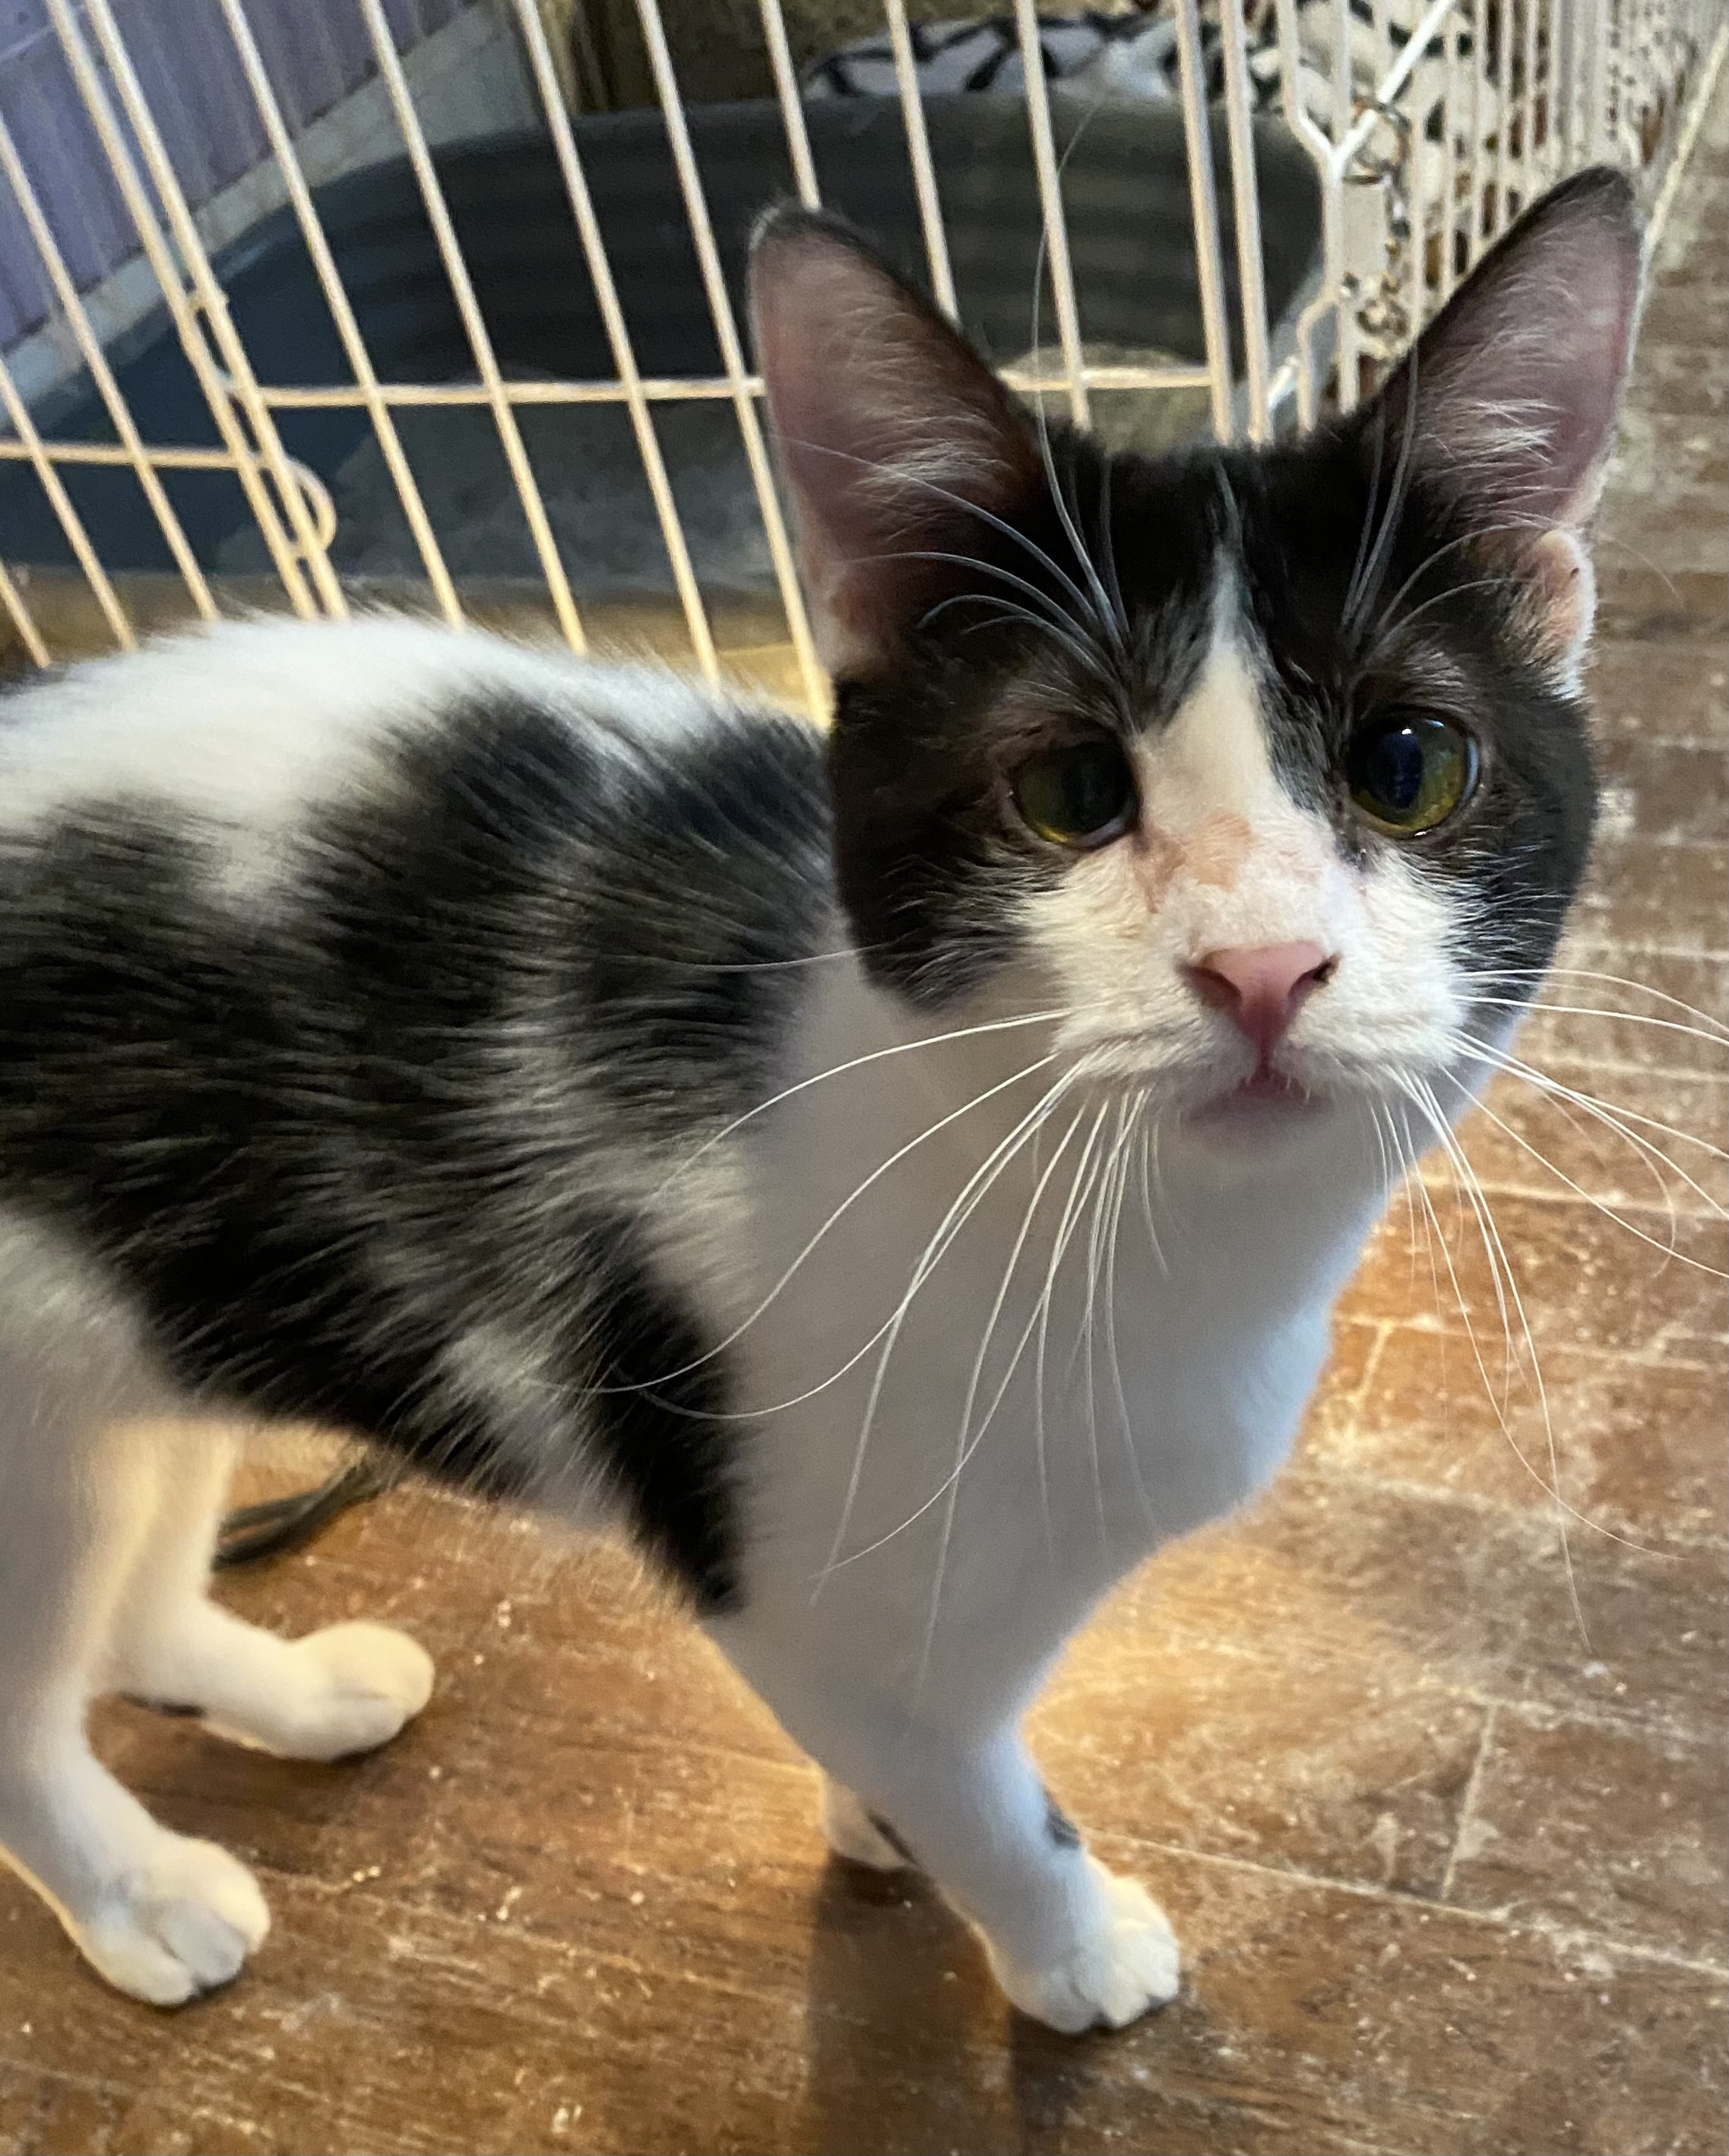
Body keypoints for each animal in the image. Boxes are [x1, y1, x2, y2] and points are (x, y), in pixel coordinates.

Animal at [0, 176, 1638, 2026]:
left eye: (1409, 763)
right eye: (1069, 788)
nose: (1266, 964)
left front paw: (882, 1830)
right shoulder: (780, 1568)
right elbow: (977, 1782)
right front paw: (1064, 1942)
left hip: (158, 1317)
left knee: (130, 1587)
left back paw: (287, 1692)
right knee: (20, 1707)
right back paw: (137, 1891)